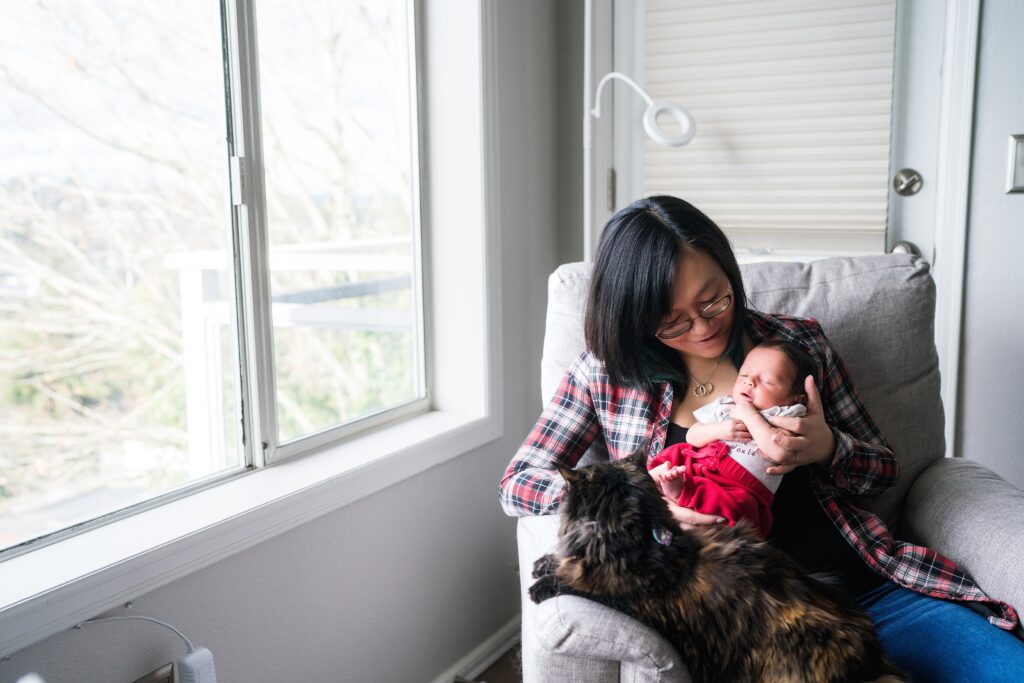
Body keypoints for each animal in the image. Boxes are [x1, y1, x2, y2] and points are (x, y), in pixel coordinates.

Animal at [528, 450, 905, 679]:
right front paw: (544, 563)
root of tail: (873, 660)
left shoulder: (627, 599)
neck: (640, 537)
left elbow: (579, 584)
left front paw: (540, 584)